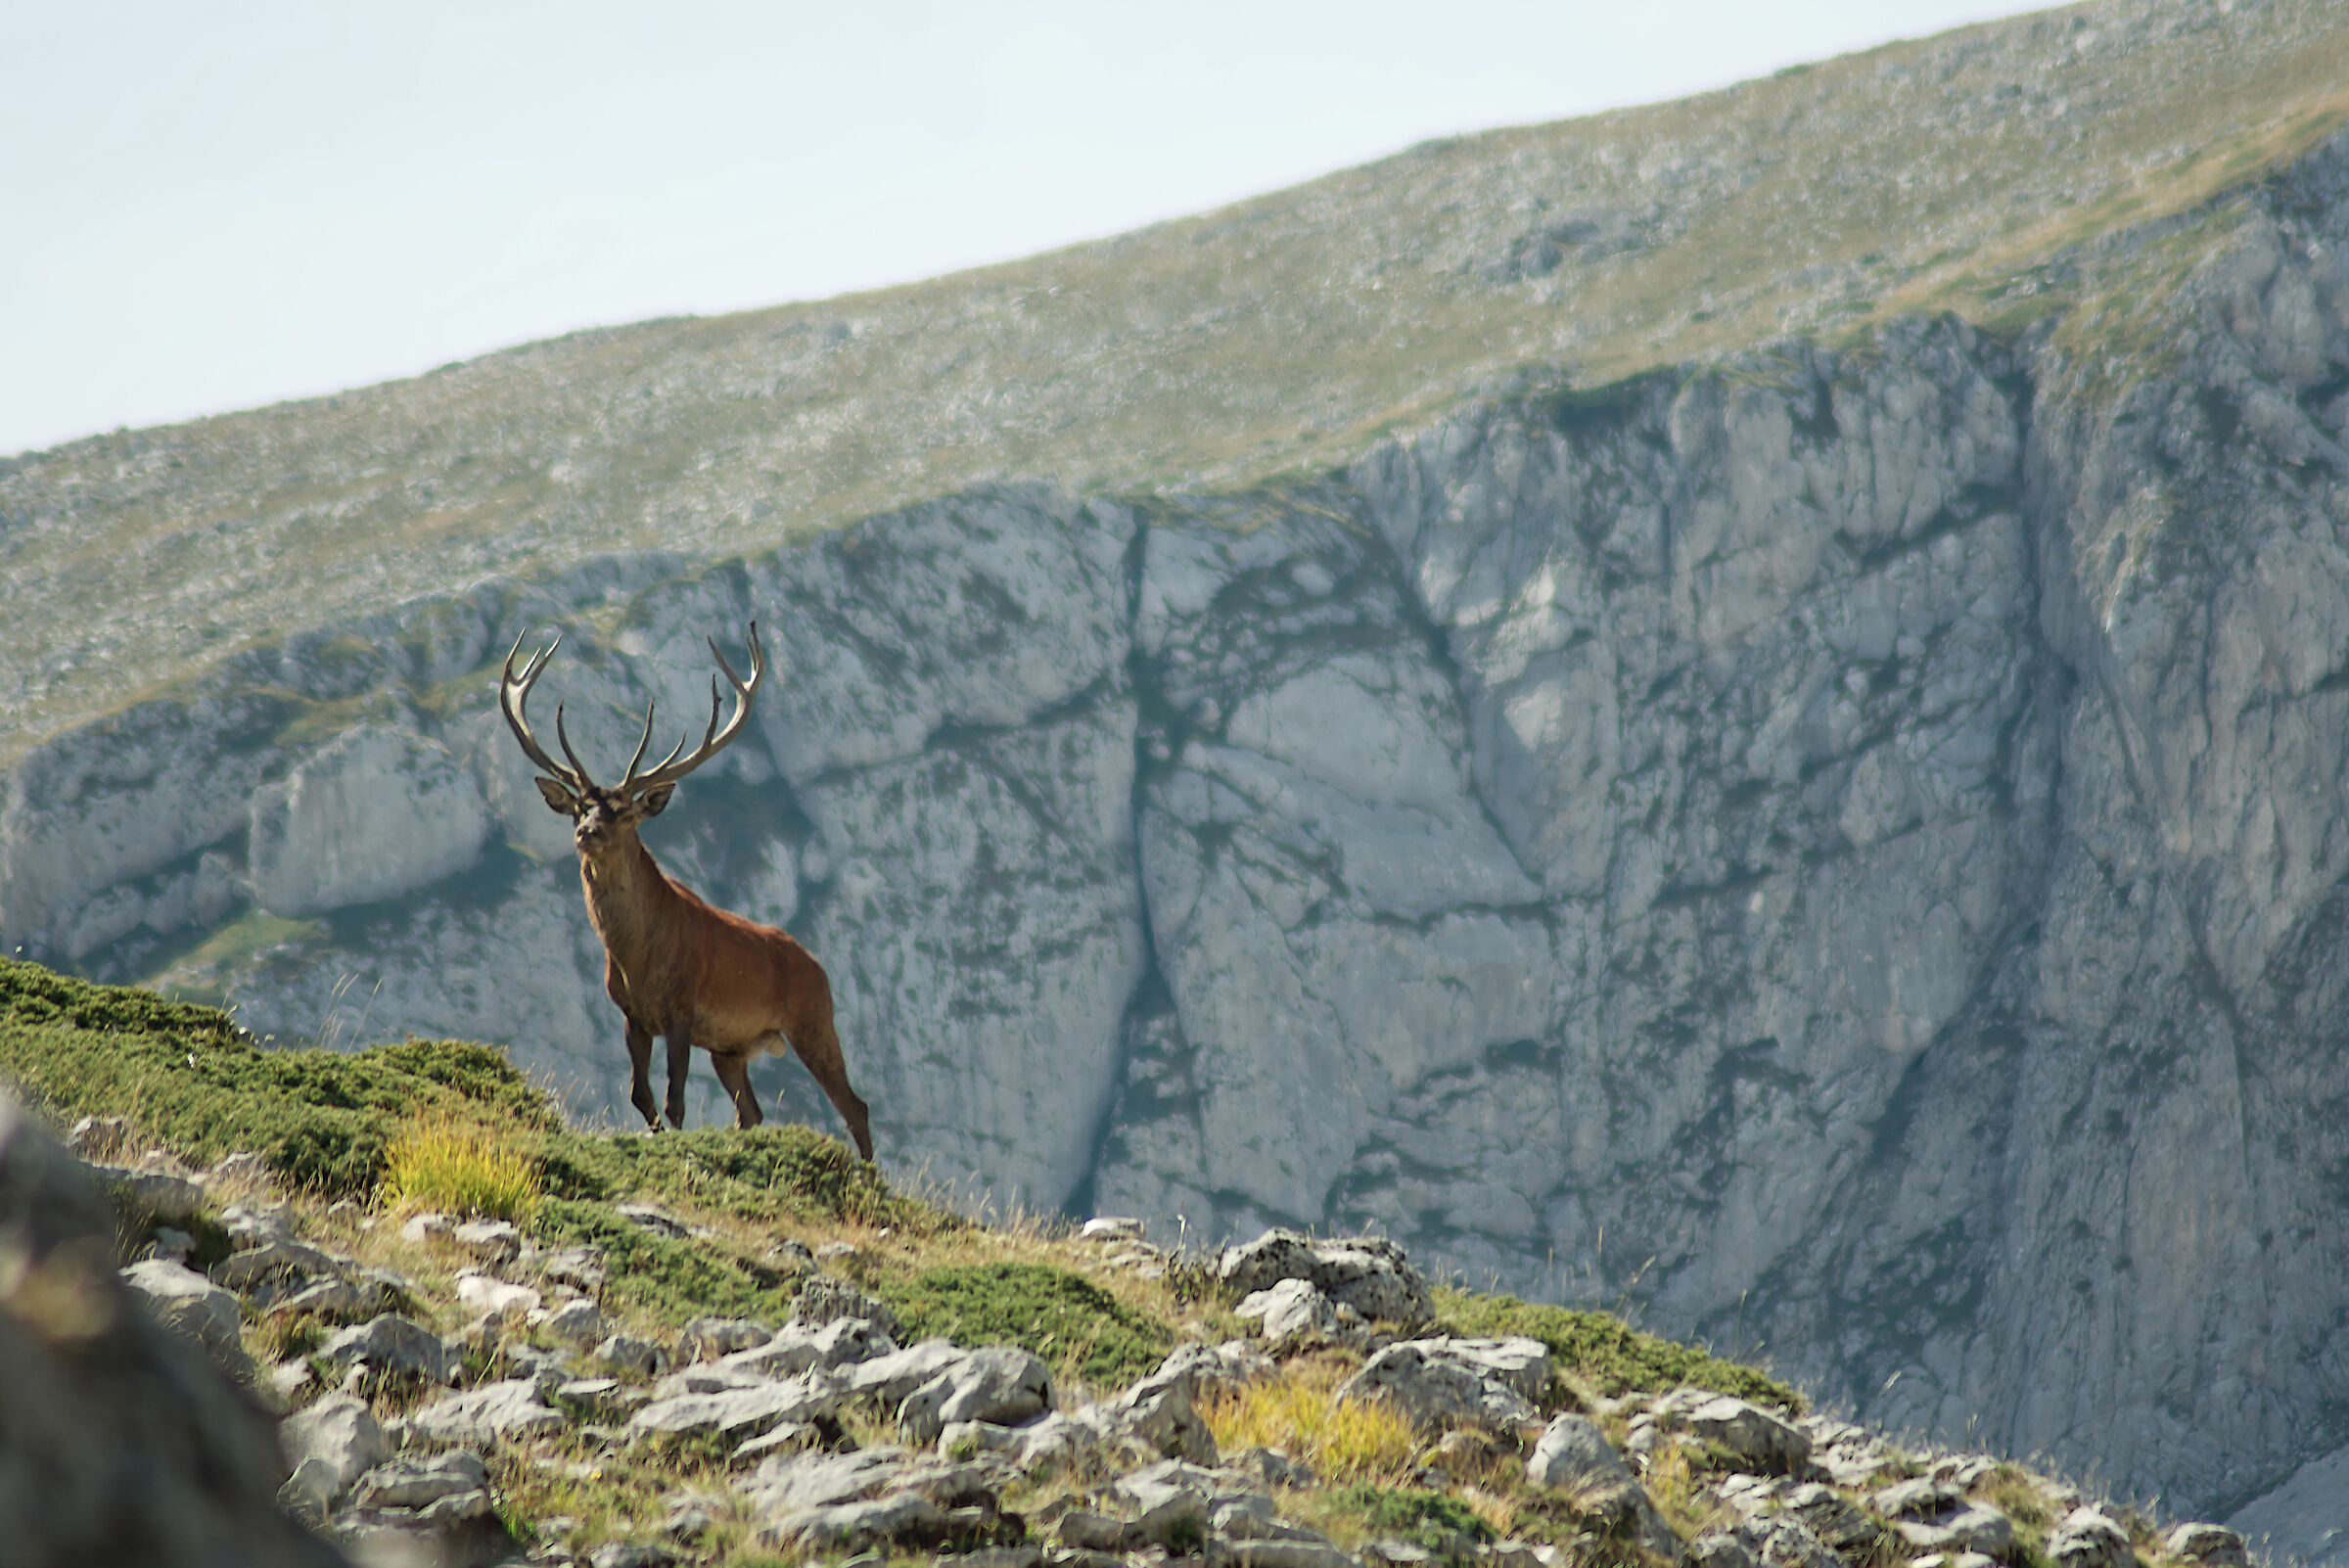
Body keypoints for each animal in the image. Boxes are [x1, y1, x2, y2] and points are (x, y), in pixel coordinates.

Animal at [497, 622, 874, 1159]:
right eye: (580, 809)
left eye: (626, 813)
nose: (588, 831)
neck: (637, 958)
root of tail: (820, 967)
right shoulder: (632, 1015)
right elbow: (640, 1095)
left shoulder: (682, 1011)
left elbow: (676, 1102)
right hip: (730, 1049)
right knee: (752, 1112)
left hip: (814, 1020)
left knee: (854, 1106)